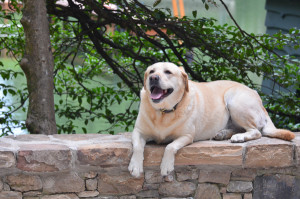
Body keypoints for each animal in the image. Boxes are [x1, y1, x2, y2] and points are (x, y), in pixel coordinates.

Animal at [127, 61, 296, 177]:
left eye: (168, 72)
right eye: (151, 71)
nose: (153, 78)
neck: (164, 112)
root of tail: (258, 97)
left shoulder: (186, 136)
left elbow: (170, 146)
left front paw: (166, 166)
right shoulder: (138, 132)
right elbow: (138, 146)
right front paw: (135, 166)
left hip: (235, 100)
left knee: (256, 131)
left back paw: (239, 137)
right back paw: (223, 134)